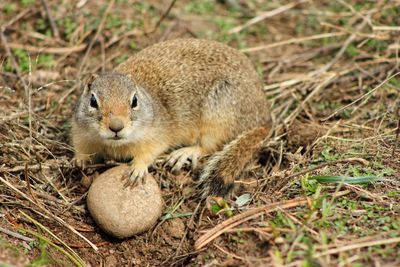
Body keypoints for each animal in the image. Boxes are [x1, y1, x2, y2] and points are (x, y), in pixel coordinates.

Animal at [72, 38, 272, 197]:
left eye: (134, 101)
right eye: (93, 101)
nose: (116, 127)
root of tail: (264, 116)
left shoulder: (157, 134)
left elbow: (151, 151)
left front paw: (137, 169)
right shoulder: (81, 132)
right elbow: (81, 147)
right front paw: (79, 160)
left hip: (218, 118)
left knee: (208, 146)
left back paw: (183, 154)